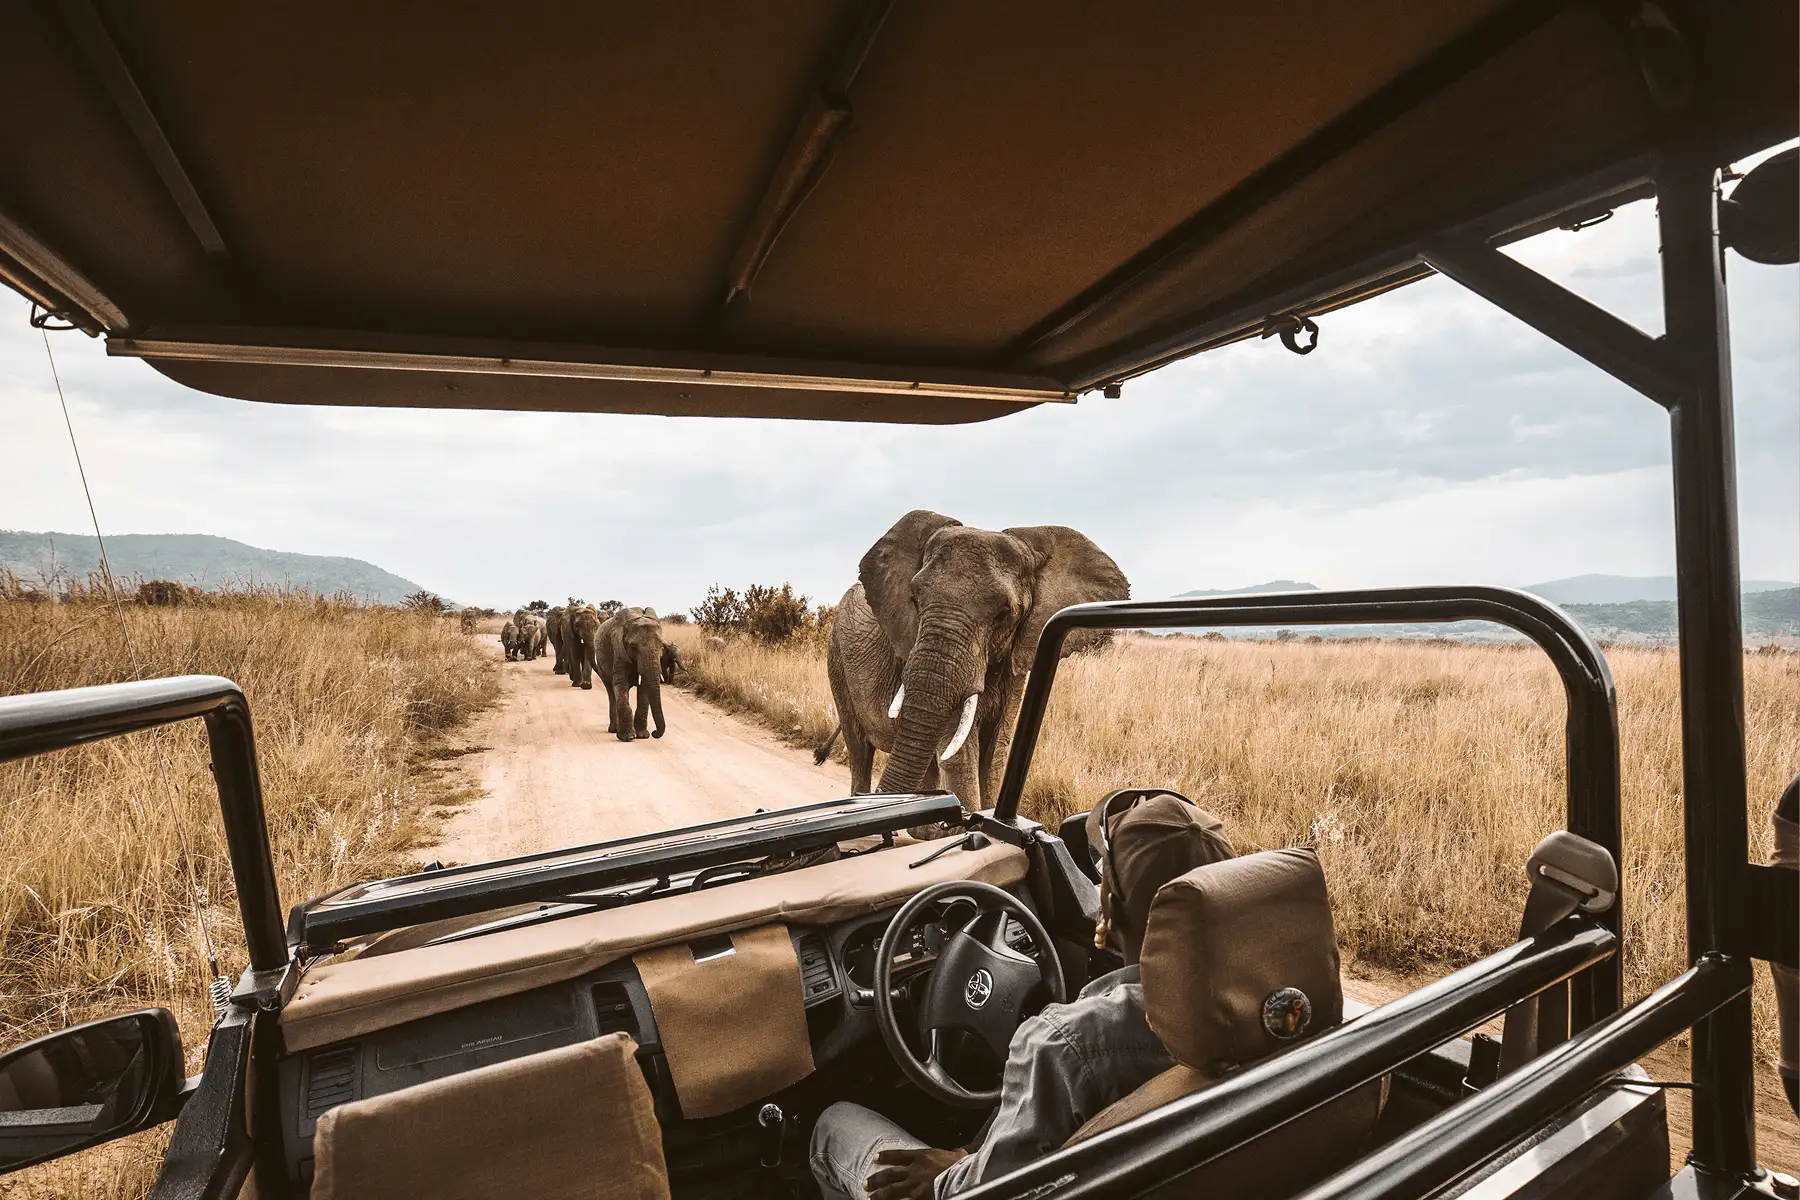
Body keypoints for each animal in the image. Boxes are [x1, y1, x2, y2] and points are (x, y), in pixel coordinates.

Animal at [596, 607, 667, 741]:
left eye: (661, 646)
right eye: (633, 647)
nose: (655, 732)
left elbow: (644, 687)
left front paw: (643, 736)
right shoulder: (618, 648)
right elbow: (621, 683)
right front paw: (627, 738)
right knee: (611, 691)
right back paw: (614, 730)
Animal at [823, 510, 1128, 813]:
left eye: (1004, 613)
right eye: (915, 600)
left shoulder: (1016, 661)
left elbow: (995, 754)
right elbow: (959, 757)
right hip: (836, 657)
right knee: (860, 750)